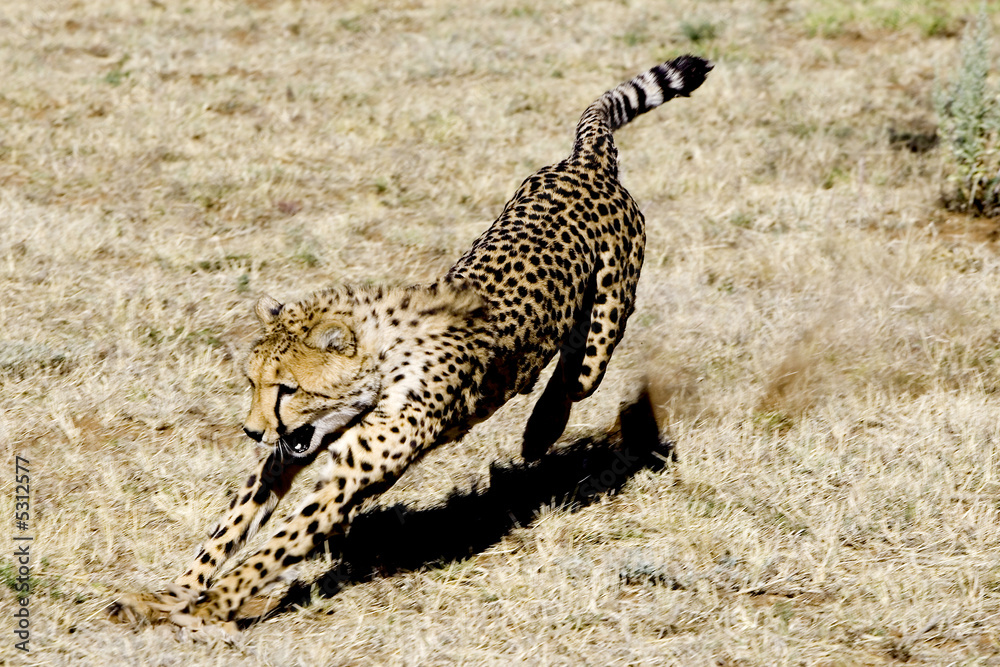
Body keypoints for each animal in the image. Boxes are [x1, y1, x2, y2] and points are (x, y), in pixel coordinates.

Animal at [107, 55, 712, 632]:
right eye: (251, 384)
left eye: (287, 388)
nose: (252, 431)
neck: (378, 366)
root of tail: (584, 162)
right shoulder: (286, 459)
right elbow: (227, 530)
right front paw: (168, 594)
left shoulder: (344, 481)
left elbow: (269, 551)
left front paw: (213, 606)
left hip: (602, 329)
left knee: (574, 373)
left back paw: (541, 431)